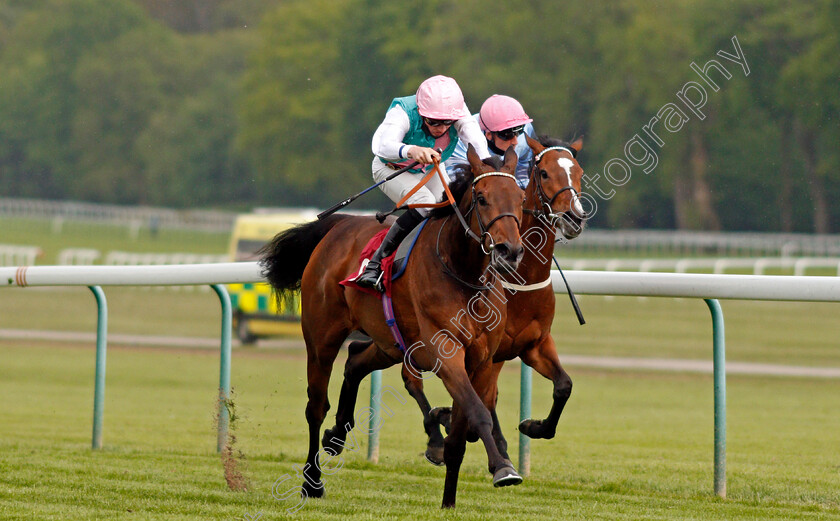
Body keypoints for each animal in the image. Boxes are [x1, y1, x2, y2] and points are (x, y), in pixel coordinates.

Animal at [262, 144, 524, 506]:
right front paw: (502, 469)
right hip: (321, 338)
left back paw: (337, 433)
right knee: (315, 406)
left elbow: (466, 425)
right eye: (482, 198)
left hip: (390, 342)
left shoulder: (483, 360)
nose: (509, 251)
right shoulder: (446, 352)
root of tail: (339, 225)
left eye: (521, 197)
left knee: (356, 359)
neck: (464, 273)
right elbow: (478, 412)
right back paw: (311, 481)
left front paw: (451, 496)